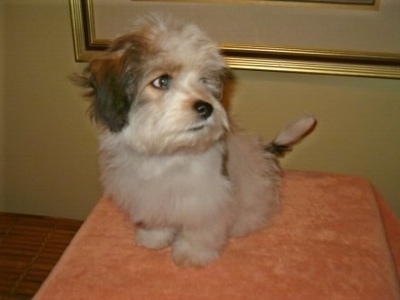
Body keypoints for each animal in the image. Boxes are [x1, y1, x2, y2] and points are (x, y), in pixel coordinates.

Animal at [75, 14, 318, 268]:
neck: (169, 153)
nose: (206, 107)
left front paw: (193, 253)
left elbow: (199, 228)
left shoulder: (206, 198)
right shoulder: (147, 194)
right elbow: (156, 217)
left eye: (203, 80)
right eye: (162, 81)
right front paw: (154, 237)